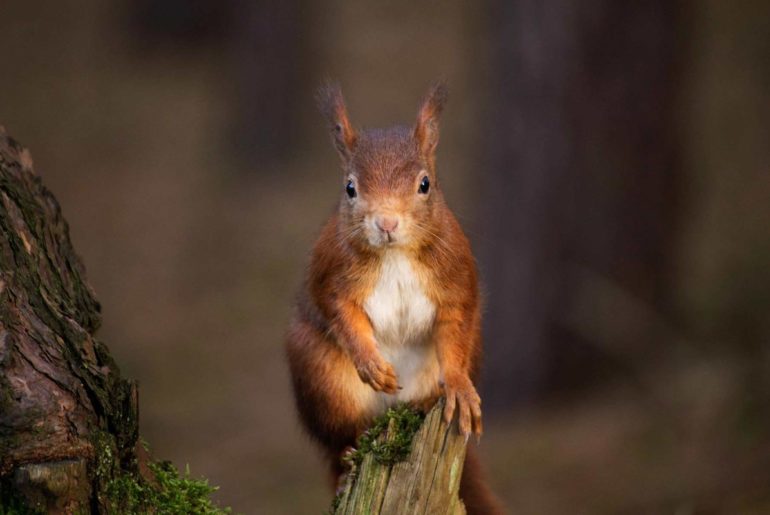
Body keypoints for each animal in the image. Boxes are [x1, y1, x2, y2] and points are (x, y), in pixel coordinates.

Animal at [286, 82, 503, 514]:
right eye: (350, 188)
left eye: (425, 184)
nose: (386, 222)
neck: (395, 254)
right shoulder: (331, 275)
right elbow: (341, 313)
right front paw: (371, 362)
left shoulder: (456, 280)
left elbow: (454, 329)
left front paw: (458, 387)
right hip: (321, 376)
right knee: (341, 442)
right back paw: (346, 462)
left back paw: (428, 403)